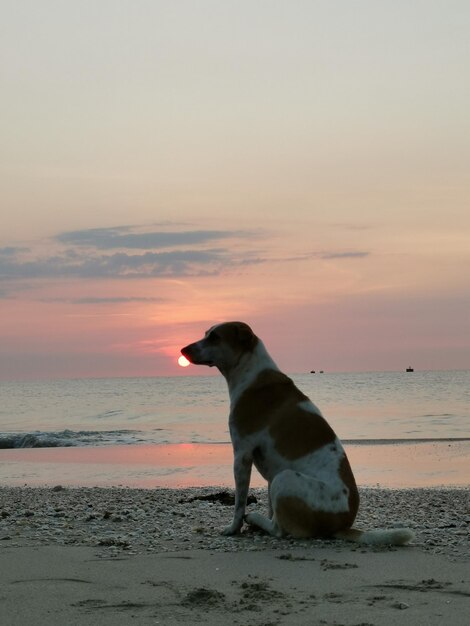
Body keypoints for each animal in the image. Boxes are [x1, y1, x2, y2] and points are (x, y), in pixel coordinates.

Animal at [182, 322, 414, 540]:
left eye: (215, 337)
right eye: (206, 333)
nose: (183, 350)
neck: (252, 374)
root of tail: (342, 525)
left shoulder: (242, 455)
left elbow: (239, 504)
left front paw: (233, 528)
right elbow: (270, 506)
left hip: (284, 478)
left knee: (279, 530)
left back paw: (255, 520)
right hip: (278, 479)